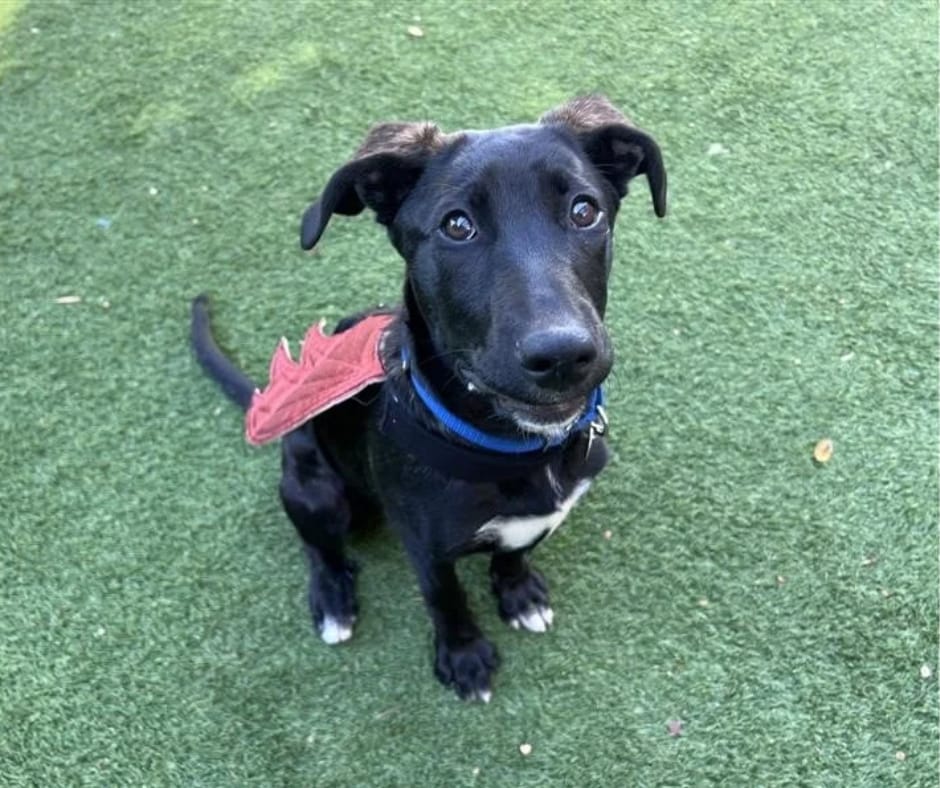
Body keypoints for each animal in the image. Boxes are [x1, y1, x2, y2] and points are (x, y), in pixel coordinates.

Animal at [191, 95, 666, 701]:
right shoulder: (427, 549)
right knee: (318, 547)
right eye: (457, 226)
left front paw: (517, 593)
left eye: (585, 211)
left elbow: (515, 552)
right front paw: (464, 658)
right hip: (314, 490)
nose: (562, 355)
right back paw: (333, 600)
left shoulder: (533, 521)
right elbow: (447, 600)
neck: (513, 449)